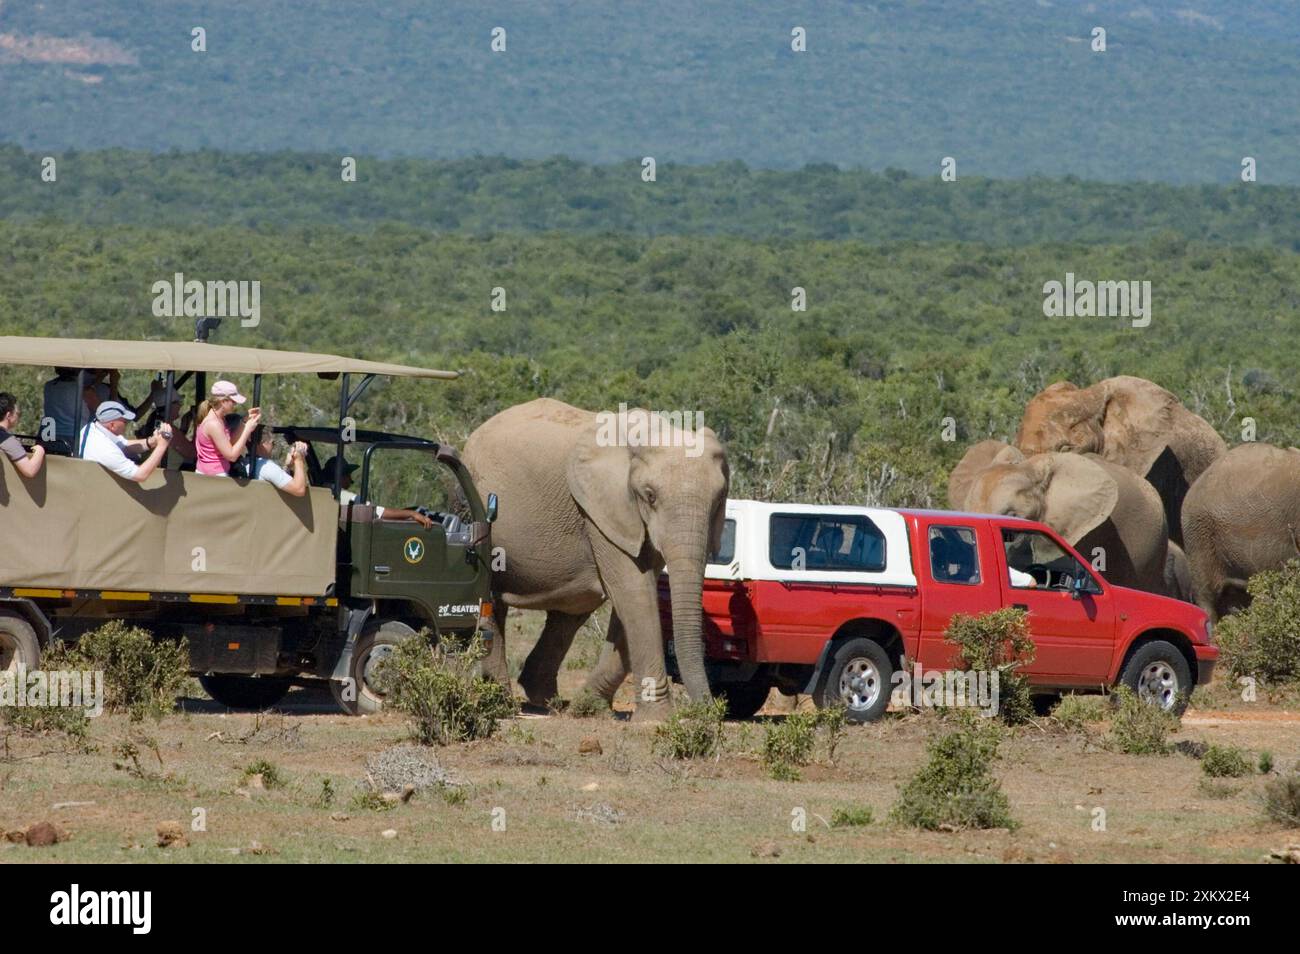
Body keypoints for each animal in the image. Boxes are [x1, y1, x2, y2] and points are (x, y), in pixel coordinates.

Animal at [465, 395, 733, 717]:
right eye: (650, 495)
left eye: (718, 500)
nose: (710, 709)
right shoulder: (600, 509)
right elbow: (634, 591)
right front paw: (657, 719)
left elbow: (634, 595)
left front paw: (588, 706)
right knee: (494, 598)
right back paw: (502, 702)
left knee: (571, 610)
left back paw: (548, 702)